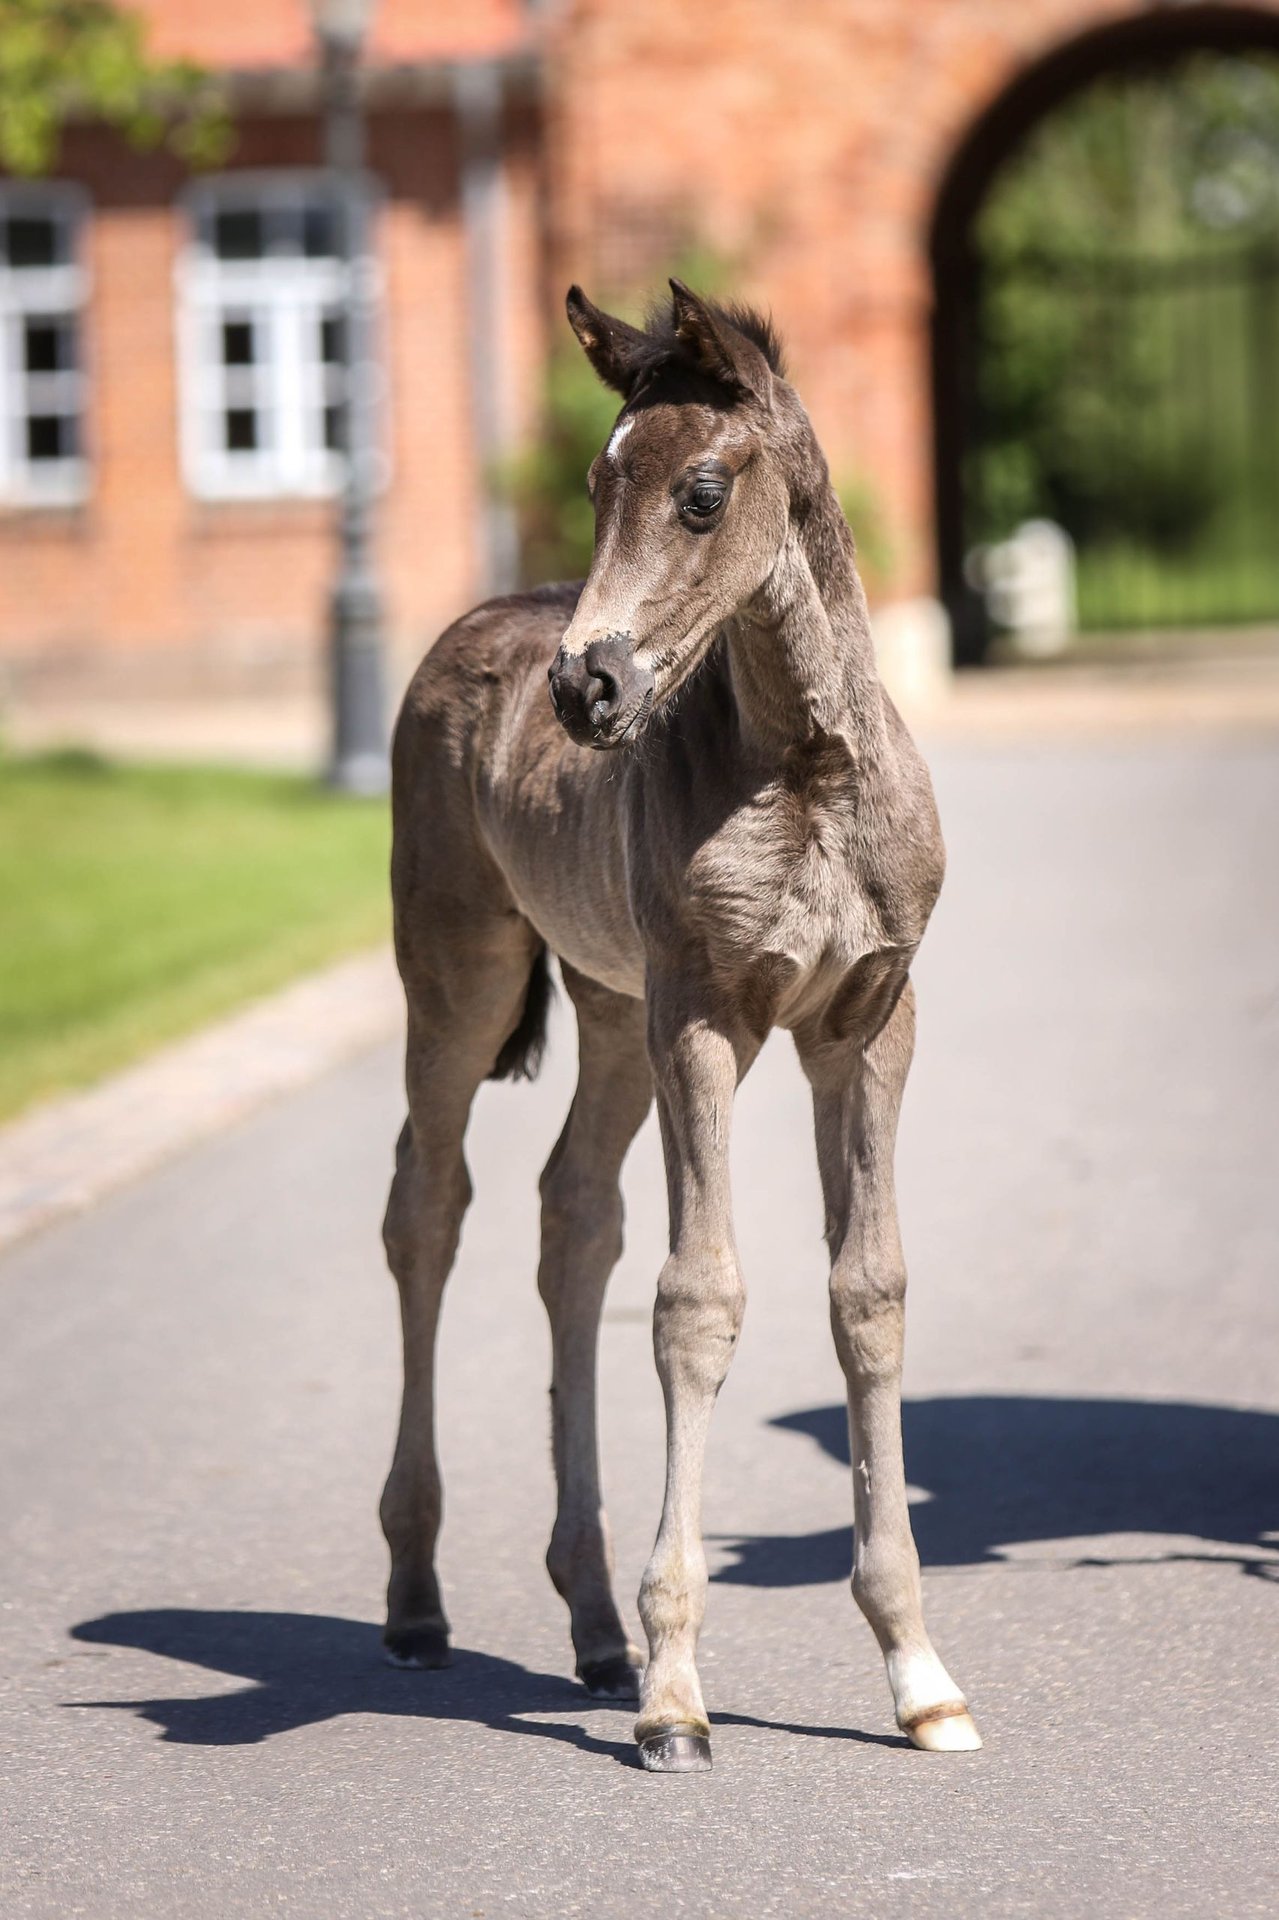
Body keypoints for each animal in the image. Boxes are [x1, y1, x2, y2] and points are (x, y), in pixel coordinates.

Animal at [378, 280, 975, 1766]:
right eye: (597, 485)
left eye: (701, 491)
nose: (584, 689)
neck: (809, 772)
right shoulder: (702, 1016)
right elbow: (698, 1297)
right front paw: (675, 1698)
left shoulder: (869, 1020)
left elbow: (867, 1292)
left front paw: (917, 1673)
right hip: (462, 971)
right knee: (429, 1207)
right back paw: (418, 1602)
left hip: (606, 1008)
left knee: (570, 1217)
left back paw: (591, 1627)